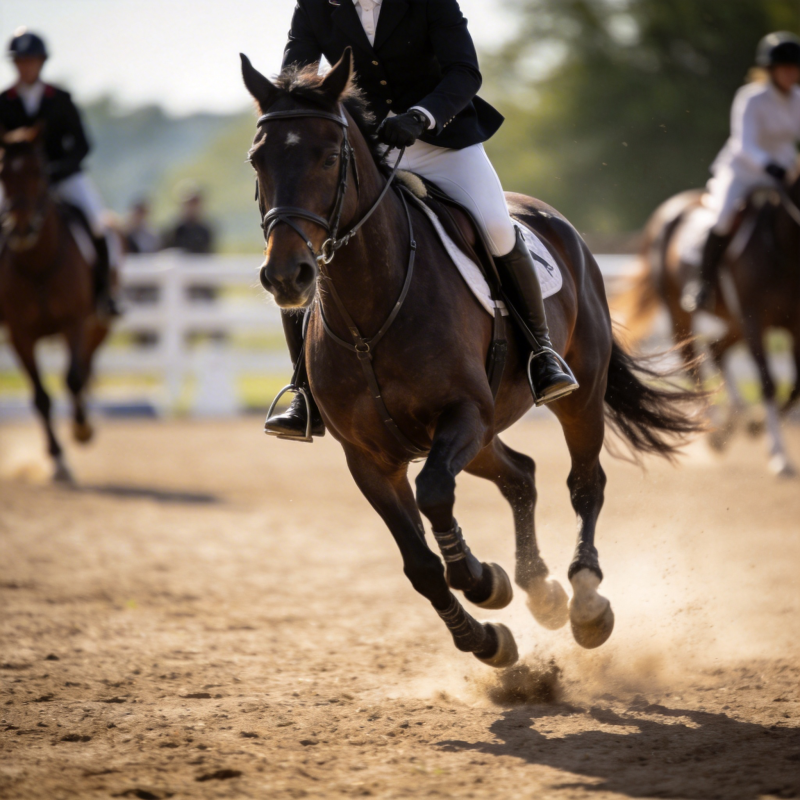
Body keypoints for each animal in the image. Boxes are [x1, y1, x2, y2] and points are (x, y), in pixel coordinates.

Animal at [0, 126, 110, 482]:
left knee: (84, 371)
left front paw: (82, 431)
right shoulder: (20, 335)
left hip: (96, 324)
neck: (37, 262)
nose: (20, 228)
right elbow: (41, 397)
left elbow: (73, 378)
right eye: (3, 173)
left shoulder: (73, 322)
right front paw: (57, 458)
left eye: (40, 172)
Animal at [242, 49, 702, 668]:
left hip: (576, 396)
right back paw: (541, 591)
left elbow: (436, 495)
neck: (369, 316)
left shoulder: (462, 416)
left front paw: (484, 580)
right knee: (522, 476)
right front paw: (486, 640)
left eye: (331, 156)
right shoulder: (369, 459)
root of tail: (554, 221)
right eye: (257, 160)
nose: (286, 276)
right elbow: (420, 566)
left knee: (585, 482)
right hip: (483, 436)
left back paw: (583, 601)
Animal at [622, 167, 800, 476]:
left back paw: (731, 424)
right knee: (693, 364)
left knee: (717, 350)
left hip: (733, 322)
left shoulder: (794, 325)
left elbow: (795, 385)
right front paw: (779, 455)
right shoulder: (754, 320)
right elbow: (768, 381)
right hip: (680, 315)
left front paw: (760, 426)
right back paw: (713, 426)